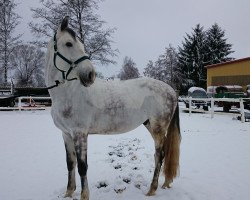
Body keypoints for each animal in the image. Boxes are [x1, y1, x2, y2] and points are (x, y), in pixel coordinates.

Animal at [45, 16, 182, 199]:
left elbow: (82, 166)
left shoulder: (80, 134)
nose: (90, 75)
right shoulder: (66, 134)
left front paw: (84, 195)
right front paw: (68, 192)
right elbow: (70, 163)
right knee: (158, 156)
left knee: (160, 156)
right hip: (150, 125)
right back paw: (164, 184)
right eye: (69, 43)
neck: (69, 93)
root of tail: (171, 91)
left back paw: (152, 190)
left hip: (159, 128)